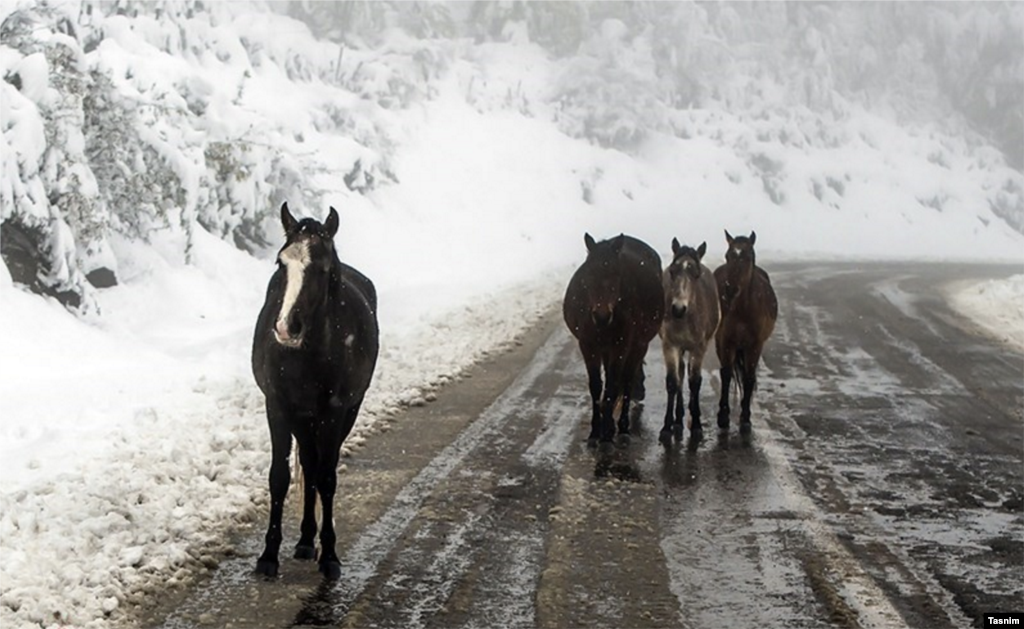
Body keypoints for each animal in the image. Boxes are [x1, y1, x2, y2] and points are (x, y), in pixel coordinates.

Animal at [249, 203, 378, 581]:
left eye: (321, 267)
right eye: (281, 263)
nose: (285, 327)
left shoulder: (335, 411)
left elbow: (327, 476)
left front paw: (330, 556)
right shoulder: (277, 407)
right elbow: (279, 477)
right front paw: (268, 556)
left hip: (340, 414)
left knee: (319, 467)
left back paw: (312, 542)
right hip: (302, 419)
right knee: (307, 461)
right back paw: (305, 540)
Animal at [561, 234, 663, 446]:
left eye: (616, 274)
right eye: (588, 274)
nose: (601, 316)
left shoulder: (621, 346)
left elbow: (614, 385)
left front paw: (607, 430)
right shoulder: (588, 345)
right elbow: (596, 386)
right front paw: (595, 430)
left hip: (638, 345)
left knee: (627, 380)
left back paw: (623, 426)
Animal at [655, 238, 720, 446]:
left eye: (696, 274)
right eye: (672, 271)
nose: (678, 308)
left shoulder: (698, 348)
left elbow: (695, 382)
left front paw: (697, 425)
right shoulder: (670, 345)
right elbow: (672, 382)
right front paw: (667, 427)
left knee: (689, 374)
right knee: (681, 373)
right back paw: (678, 420)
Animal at [712, 230, 774, 434]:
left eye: (747, 257)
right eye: (728, 255)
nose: (730, 289)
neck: (742, 310)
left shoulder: (755, 345)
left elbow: (748, 377)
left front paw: (745, 418)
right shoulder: (725, 341)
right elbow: (725, 374)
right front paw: (723, 417)